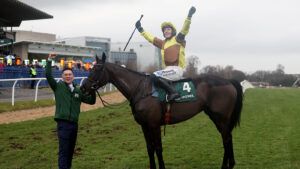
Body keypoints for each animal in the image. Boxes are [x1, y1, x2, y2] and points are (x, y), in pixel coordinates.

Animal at [80, 54, 244, 169]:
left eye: (96, 69)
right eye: (90, 68)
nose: (83, 87)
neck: (141, 90)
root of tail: (229, 81)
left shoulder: (154, 125)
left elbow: (158, 148)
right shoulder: (144, 126)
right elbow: (150, 148)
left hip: (221, 118)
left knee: (227, 138)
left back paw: (227, 165)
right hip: (216, 117)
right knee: (226, 138)